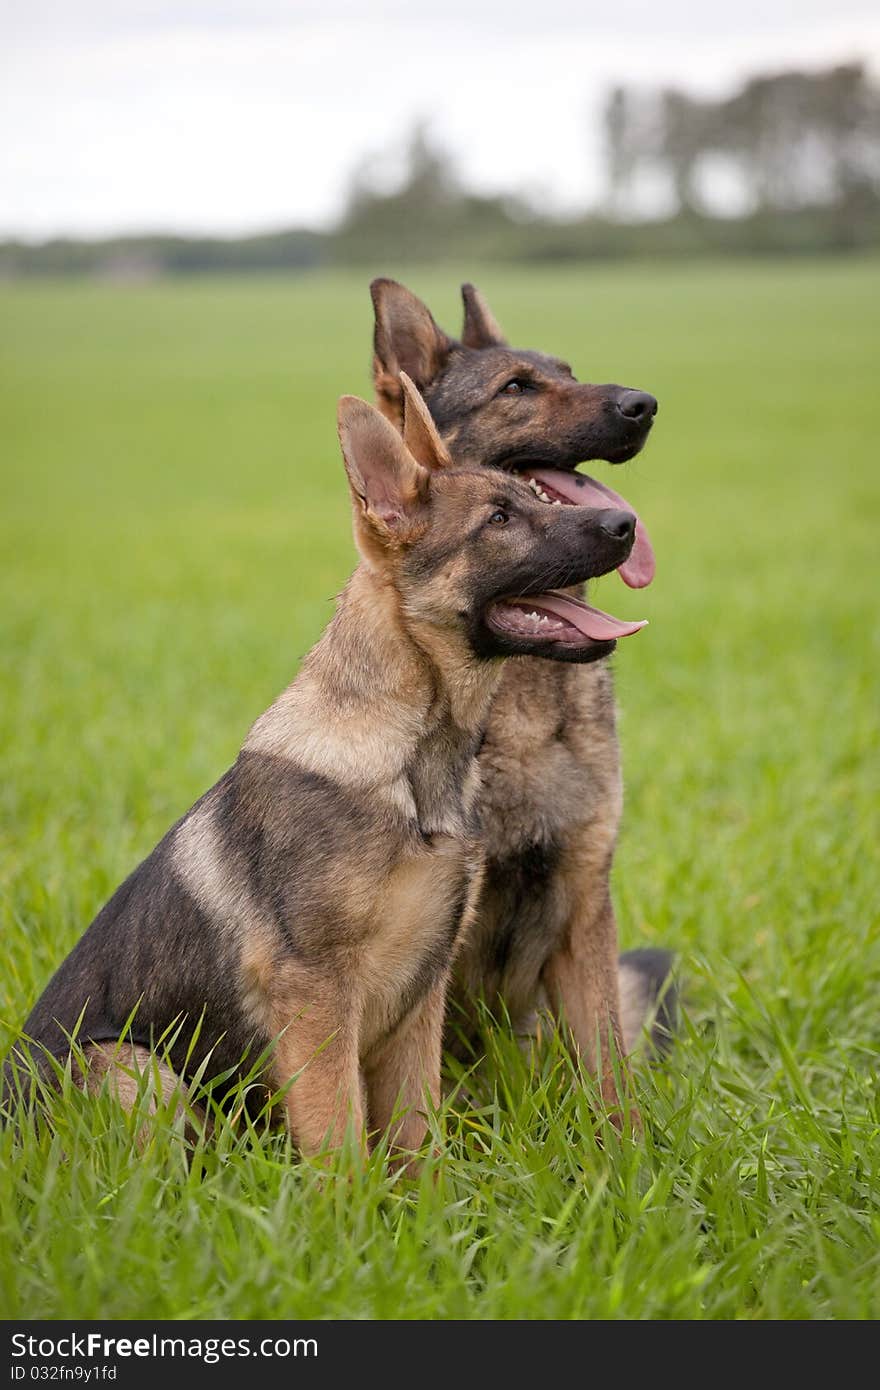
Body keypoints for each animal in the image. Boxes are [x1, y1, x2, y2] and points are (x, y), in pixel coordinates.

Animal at [1, 378, 645, 1150]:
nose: (626, 523)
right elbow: (342, 1149)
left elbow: (416, 1140)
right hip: (135, 1069)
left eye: (532, 500)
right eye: (499, 519)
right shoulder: (317, 1000)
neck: (408, 762)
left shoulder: (418, 1004)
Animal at [369, 279, 672, 1084]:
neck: (524, 698)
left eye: (568, 372)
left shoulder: (583, 898)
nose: (644, 404)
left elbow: (608, 1073)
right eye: (516, 388)